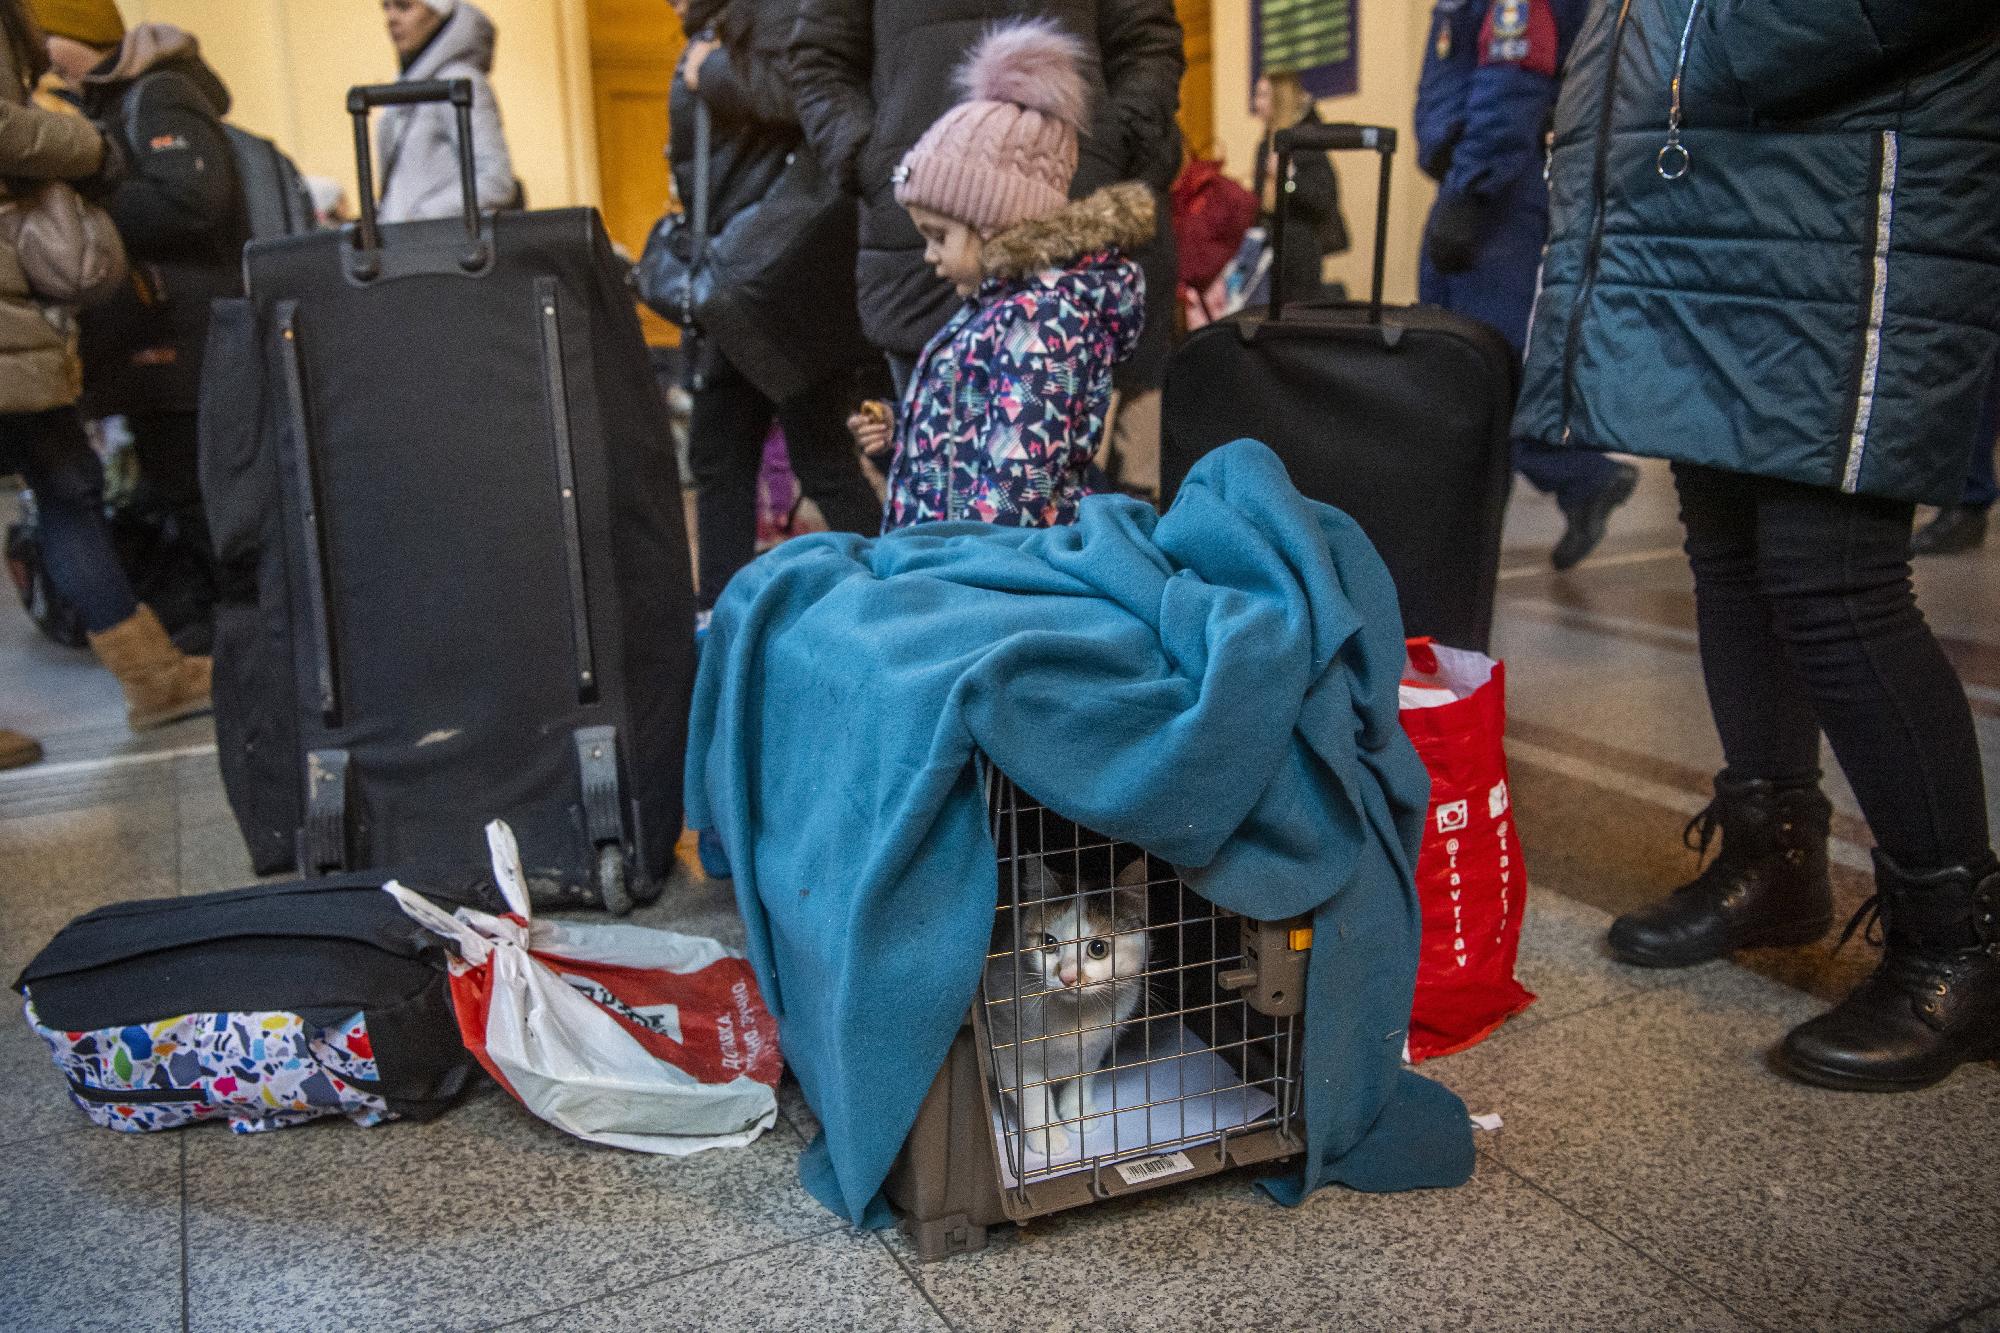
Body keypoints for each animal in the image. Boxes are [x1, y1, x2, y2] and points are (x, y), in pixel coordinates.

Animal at [988, 852, 1160, 1152]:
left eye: (1098, 948)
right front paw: (1048, 1137)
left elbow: (1083, 1079)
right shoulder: (1009, 1049)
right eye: (1048, 942)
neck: (1076, 1015)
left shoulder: (1095, 1045)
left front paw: (1078, 1115)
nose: (1067, 977)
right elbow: (1033, 1094)